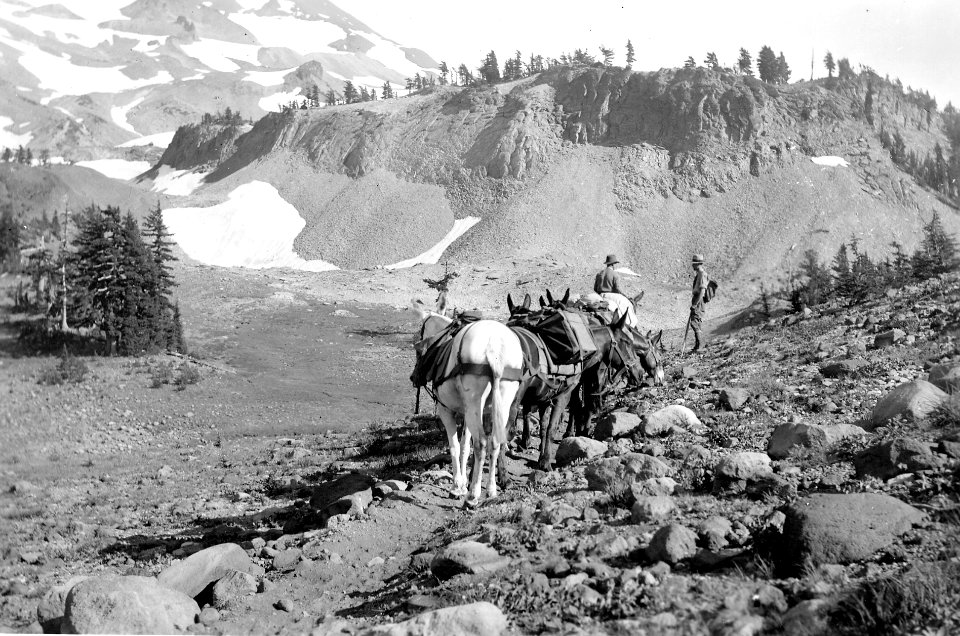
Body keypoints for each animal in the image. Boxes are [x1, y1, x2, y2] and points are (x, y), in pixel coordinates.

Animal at [408, 300, 520, 504]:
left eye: (419, 348)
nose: (413, 377)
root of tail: (494, 344)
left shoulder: (446, 410)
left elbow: (454, 446)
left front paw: (457, 487)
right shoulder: (467, 413)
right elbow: (465, 447)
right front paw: (462, 484)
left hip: (475, 403)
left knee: (482, 443)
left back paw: (473, 496)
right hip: (501, 400)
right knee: (495, 442)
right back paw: (491, 490)